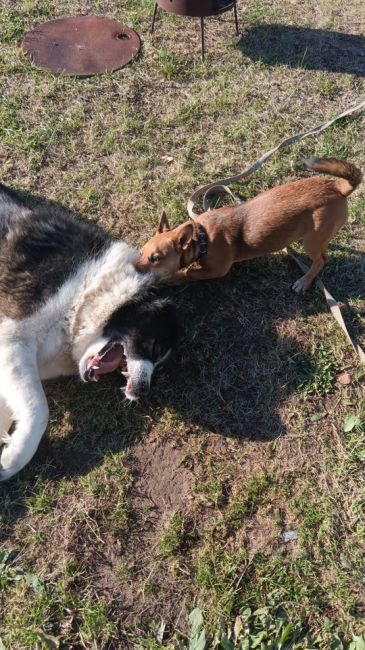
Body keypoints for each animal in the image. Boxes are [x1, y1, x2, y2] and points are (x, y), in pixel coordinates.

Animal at [0, 185, 178, 478]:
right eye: (154, 347)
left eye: (162, 365)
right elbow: (39, 409)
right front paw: (14, 458)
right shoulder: (12, 338)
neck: (87, 292)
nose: (143, 391)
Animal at [137, 157, 362, 292]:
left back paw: (304, 281)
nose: (134, 269)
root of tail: (337, 187)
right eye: (141, 253)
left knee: (321, 260)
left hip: (312, 242)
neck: (202, 238)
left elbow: (190, 272)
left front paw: (173, 277)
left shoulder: (217, 271)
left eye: (156, 258)